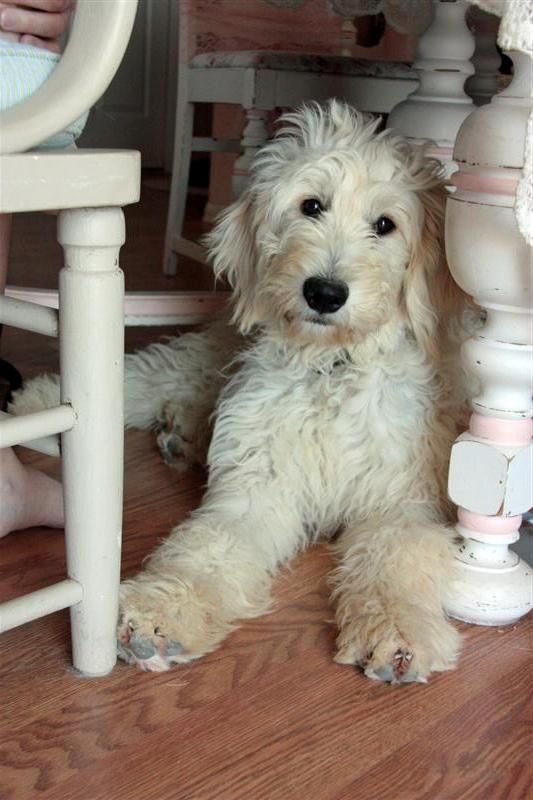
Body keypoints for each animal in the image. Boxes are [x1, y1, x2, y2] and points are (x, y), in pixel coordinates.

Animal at [13, 101, 470, 680]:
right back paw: (42, 403)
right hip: (207, 358)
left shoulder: (403, 502)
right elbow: (208, 546)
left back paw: (182, 434)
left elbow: (397, 558)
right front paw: (163, 615)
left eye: (385, 225)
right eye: (311, 205)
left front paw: (398, 633)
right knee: (145, 376)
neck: (331, 369)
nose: (324, 292)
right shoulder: (257, 487)